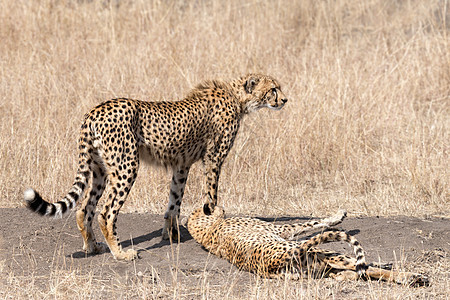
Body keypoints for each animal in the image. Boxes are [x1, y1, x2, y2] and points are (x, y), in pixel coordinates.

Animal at [23, 73, 288, 260]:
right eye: (273, 89)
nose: (285, 99)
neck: (237, 97)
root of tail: (94, 111)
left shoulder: (181, 165)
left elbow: (174, 201)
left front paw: (171, 234)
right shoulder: (213, 159)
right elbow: (210, 195)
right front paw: (213, 222)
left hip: (99, 168)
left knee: (84, 208)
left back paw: (93, 247)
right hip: (126, 166)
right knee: (106, 212)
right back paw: (120, 253)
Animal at [186, 205, 428, 288]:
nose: (219, 205)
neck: (207, 231)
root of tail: (271, 263)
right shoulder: (283, 230)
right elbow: (311, 222)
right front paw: (338, 215)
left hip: (313, 267)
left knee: (349, 273)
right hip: (321, 252)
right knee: (363, 267)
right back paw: (411, 276)